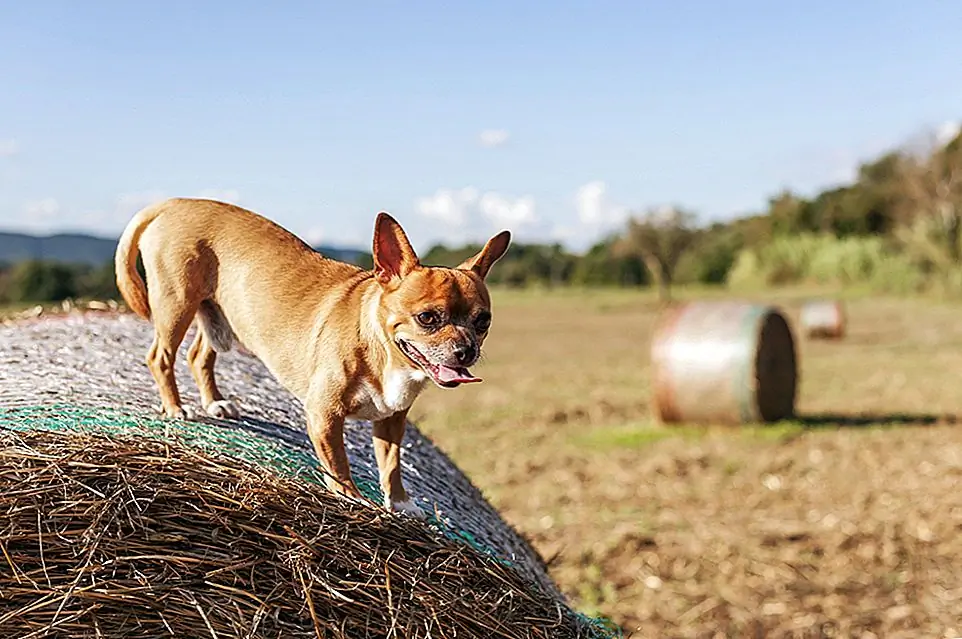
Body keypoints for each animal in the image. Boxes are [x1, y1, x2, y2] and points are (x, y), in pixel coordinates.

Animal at [114, 198, 510, 516]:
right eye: (427, 318)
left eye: (483, 321)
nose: (466, 350)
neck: (381, 347)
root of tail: (173, 202)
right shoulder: (325, 415)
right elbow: (339, 463)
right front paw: (352, 499)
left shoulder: (391, 421)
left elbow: (392, 464)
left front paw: (400, 504)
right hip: (176, 306)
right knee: (160, 357)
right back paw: (176, 407)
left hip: (222, 319)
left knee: (199, 356)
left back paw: (216, 403)